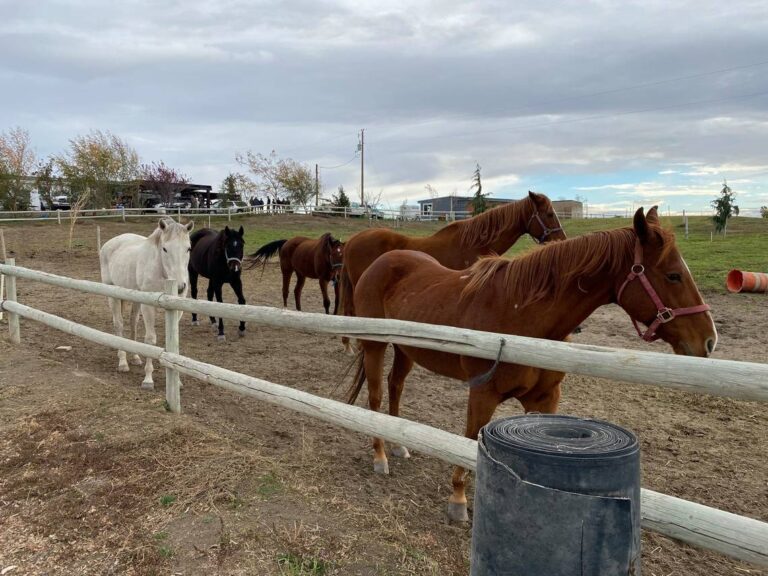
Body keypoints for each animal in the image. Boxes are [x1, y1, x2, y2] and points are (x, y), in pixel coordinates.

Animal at [99, 218, 194, 390]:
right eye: (165, 249)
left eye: (188, 248)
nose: (180, 287)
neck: (162, 271)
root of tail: (110, 243)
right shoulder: (149, 307)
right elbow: (150, 339)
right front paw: (148, 379)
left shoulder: (176, 309)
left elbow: (172, 343)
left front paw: (177, 382)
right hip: (113, 295)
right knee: (119, 324)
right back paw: (122, 361)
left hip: (136, 300)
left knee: (133, 323)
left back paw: (136, 357)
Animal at [352, 207, 716, 520]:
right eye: (673, 276)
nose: (709, 341)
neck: (520, 316)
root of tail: (381, 261)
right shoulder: (482, 394)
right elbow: (469, 441)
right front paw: (458, 499)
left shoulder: (544, 398)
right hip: (375, 346)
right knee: (375, 396)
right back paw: (380, 455)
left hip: (406, 349)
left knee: (395, 387)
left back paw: (399, 445)